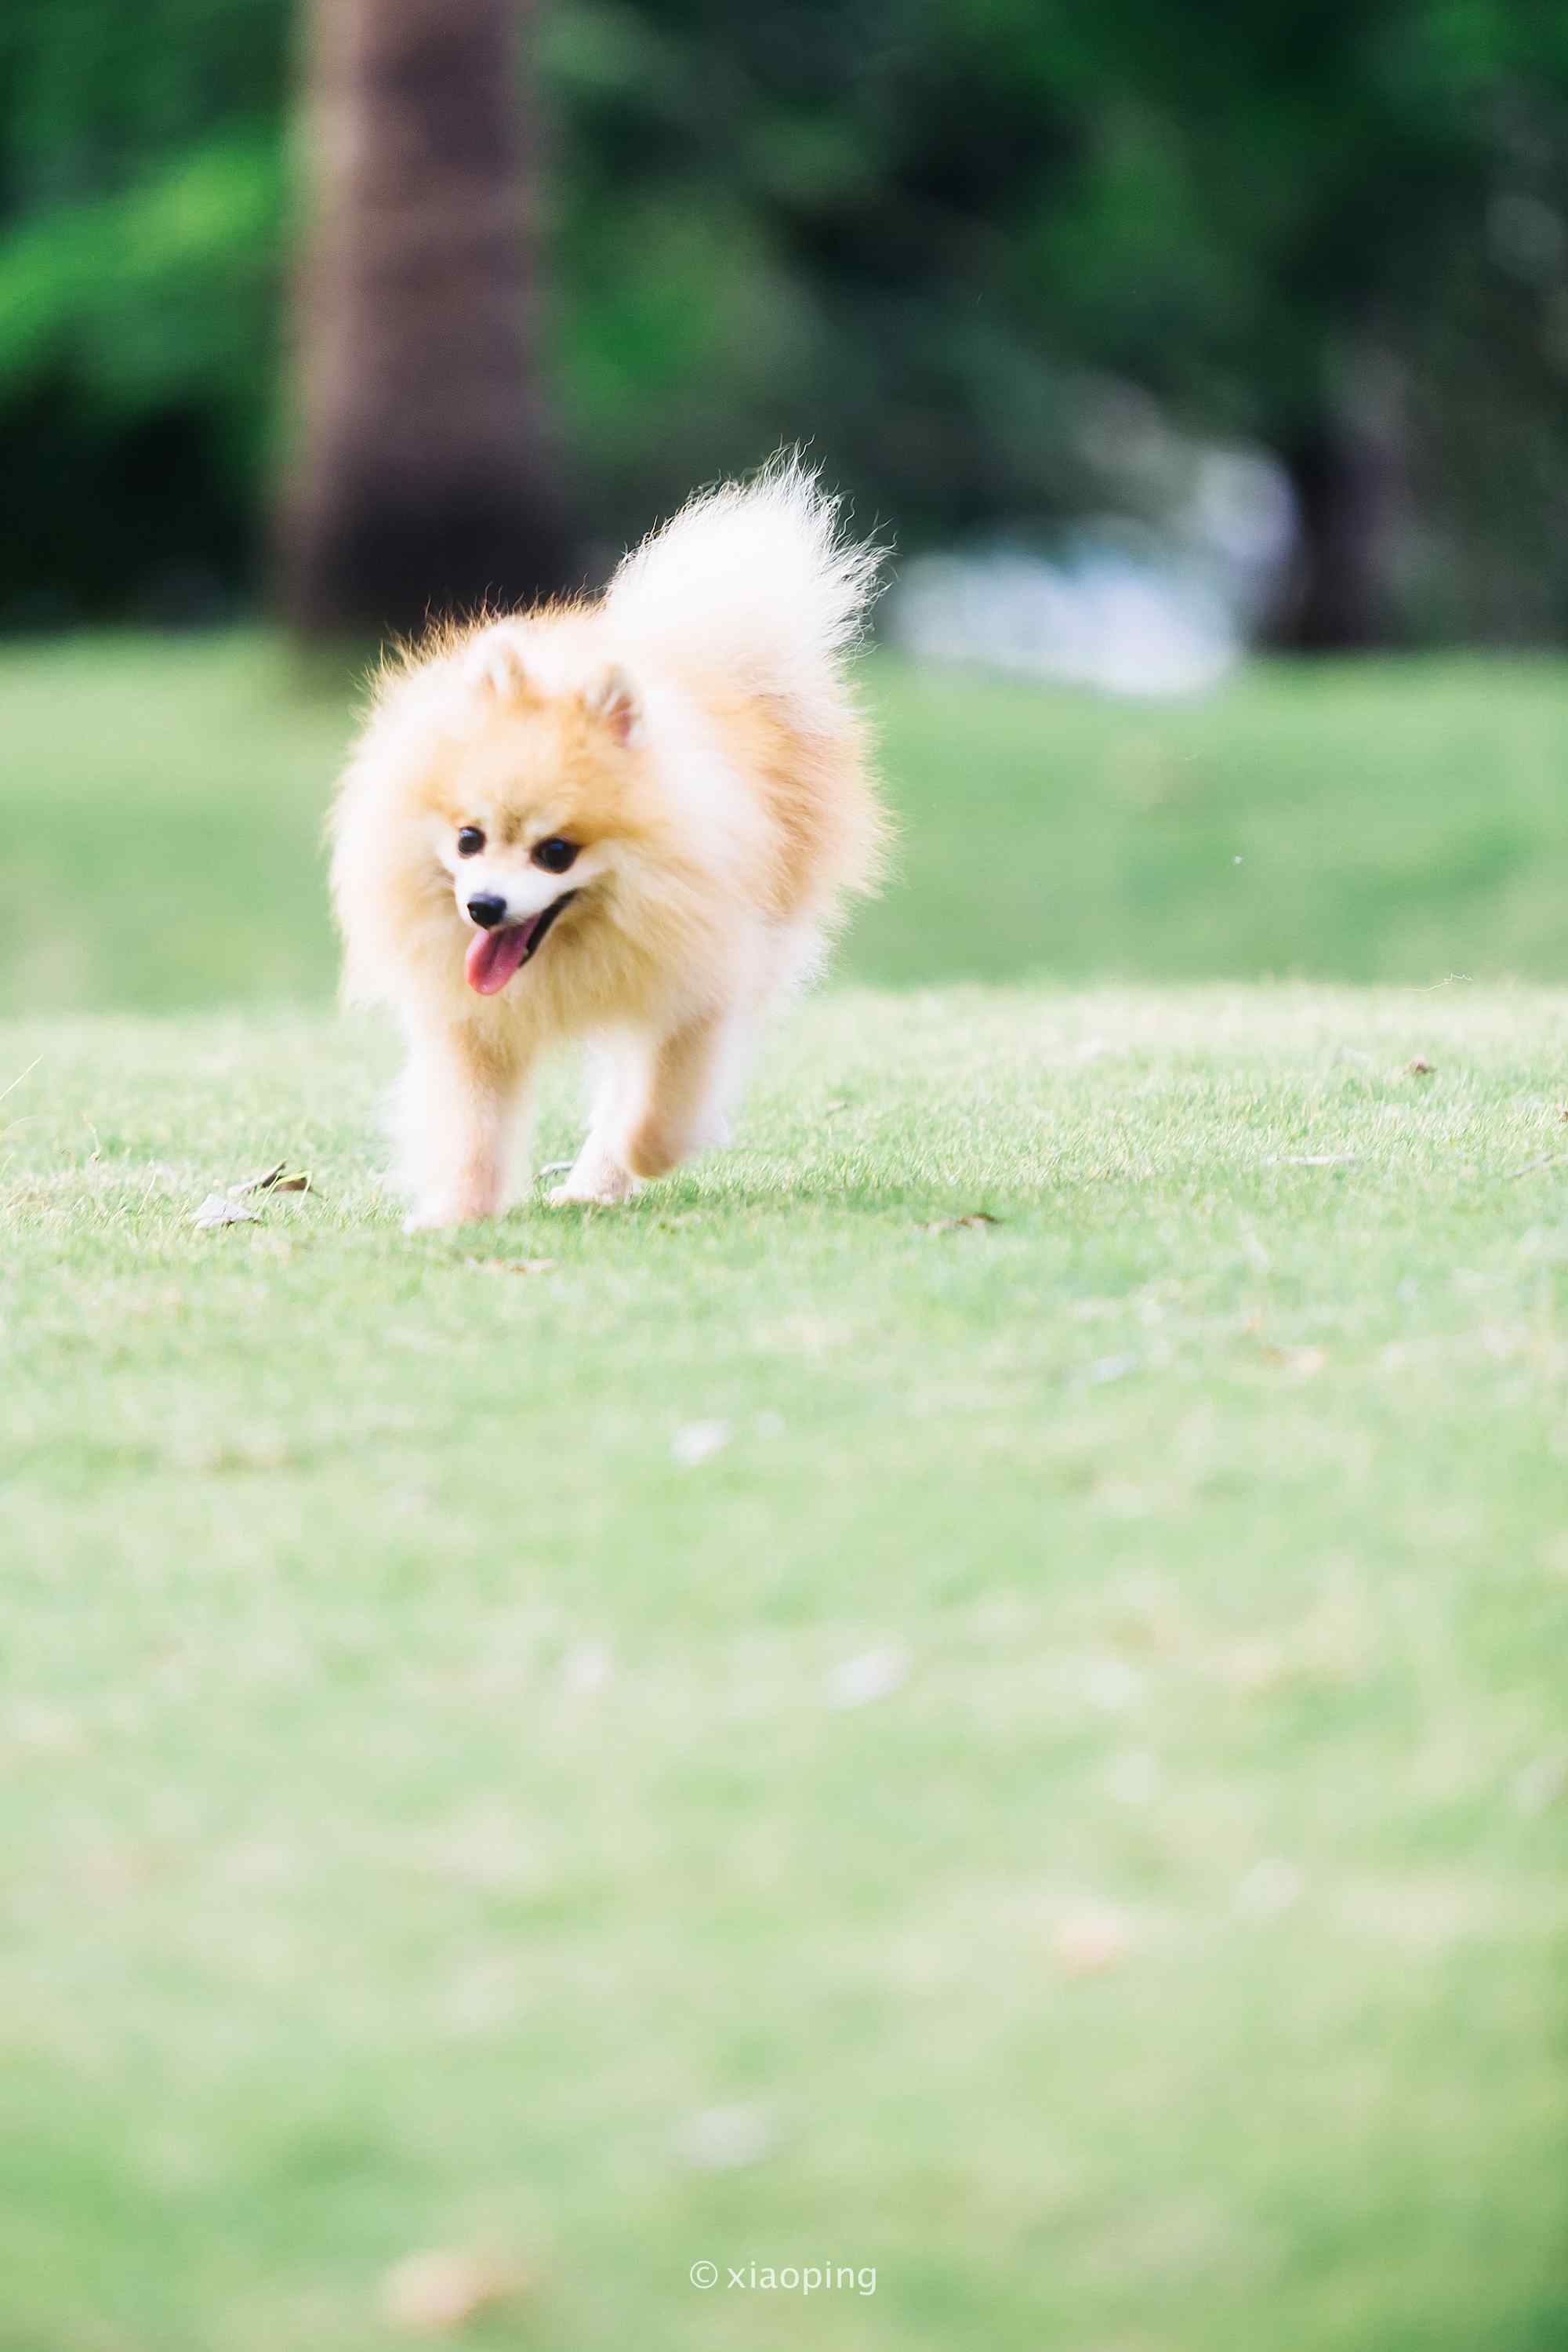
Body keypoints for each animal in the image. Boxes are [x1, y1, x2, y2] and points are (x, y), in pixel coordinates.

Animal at [328, 459, 893, 1232]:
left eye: (556, 852)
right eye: (469, 839)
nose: (483, 907)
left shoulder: (695, 989)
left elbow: (658, 1107)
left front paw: (641, 1155)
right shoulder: (471, 1023)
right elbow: (473, 1129)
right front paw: (457, 1214)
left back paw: (601, 1177)